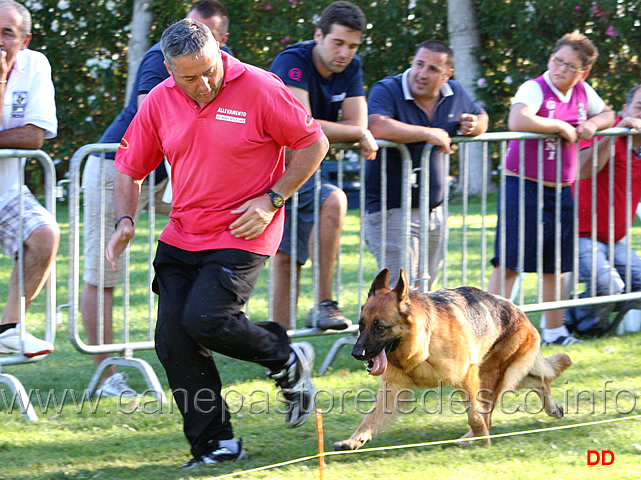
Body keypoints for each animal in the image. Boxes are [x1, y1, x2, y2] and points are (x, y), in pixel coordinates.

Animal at [332, 270, 572, 450]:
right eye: (361, 325)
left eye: (380, 327)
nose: (356, 353)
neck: (423, 343)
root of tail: (520, 312)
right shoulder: (394, 389)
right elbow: (370, 418)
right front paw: (354, 439)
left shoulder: (467, 377)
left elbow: (475, 416)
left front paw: (483, 441)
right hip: (504, 374)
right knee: (539, 381)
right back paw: (553, 409)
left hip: (490, 375)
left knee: (489, 414)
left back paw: (472, 438)